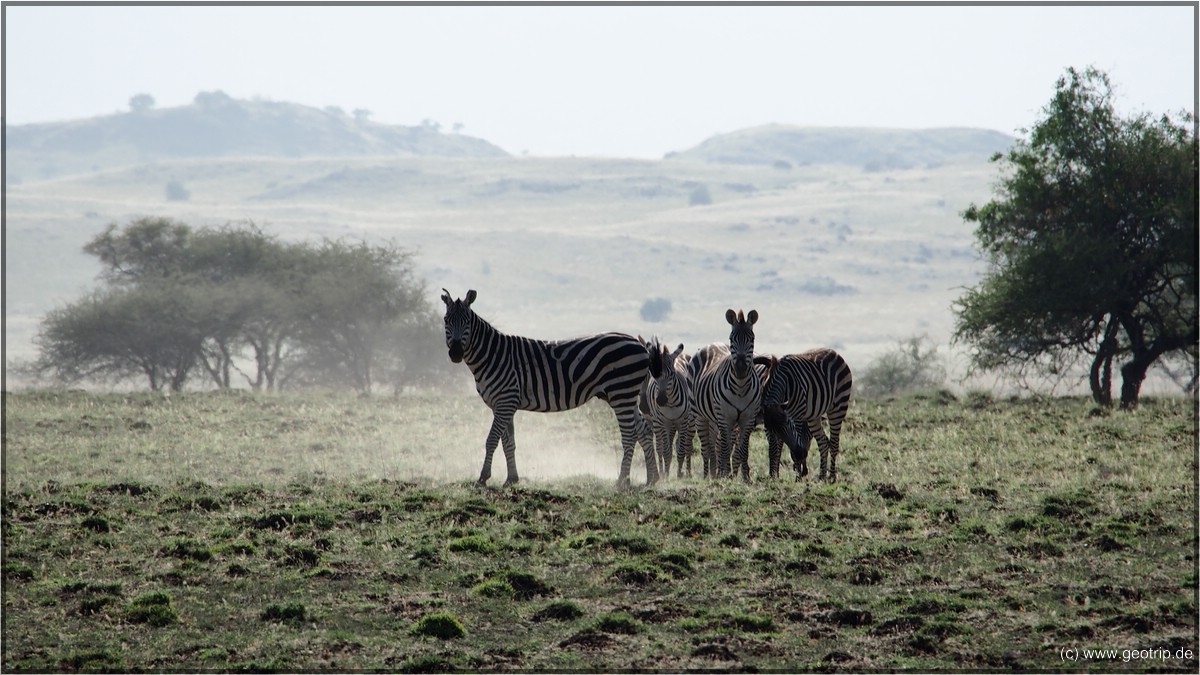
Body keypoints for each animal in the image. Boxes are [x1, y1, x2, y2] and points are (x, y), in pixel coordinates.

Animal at [439, 285, 657, 485]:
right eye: (446, 321)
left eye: (467, 322)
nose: (455, 353)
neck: (492, 355)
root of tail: (638, 343)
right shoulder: (502, 405)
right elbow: (508, 443)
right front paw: (512, 479)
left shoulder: (505, 401)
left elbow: (491, 439)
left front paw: (483, 478)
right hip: (625, 395)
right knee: (643, 430)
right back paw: (652, 479)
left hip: (622, 392)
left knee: (629, 434)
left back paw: (622, 481)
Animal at [638, 338, 696, 475]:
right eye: (654, 375)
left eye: (672, 374)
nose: (660, 400)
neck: (671, 403)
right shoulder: (660, 422)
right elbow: (665, 451)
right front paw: (665, 474)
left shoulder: (683, 421)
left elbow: (681, 450)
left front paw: (679, 475)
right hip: (666, 424)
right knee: (665, 446)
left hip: (690, 422)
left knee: (687, 445)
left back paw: (688, 472)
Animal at [686, 309, 768, 478]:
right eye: (732, 339)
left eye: (752, 339)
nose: (741, 368)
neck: (741, 388)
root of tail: (711, 345)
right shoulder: (724, 417)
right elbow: (724, 448)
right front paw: (724, 474)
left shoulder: (748, 419)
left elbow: (743, 449)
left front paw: (745, 477)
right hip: (699, 415)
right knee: (706, 448)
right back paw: (708, 476)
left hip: (714, 418)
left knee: (713, 446)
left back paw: (714, 473)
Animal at [758, 345, 854, 482]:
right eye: (776, 431)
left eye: (788, 424)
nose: (800, 453)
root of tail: (834, 352)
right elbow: (776, 448)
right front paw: (777, 475)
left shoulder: (797, 416)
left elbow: (795, 444)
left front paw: (798, 478)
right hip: (813, 417)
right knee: (823, 443)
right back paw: (822, 476)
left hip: (839, 406)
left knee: (834, 443)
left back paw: (832, 477)